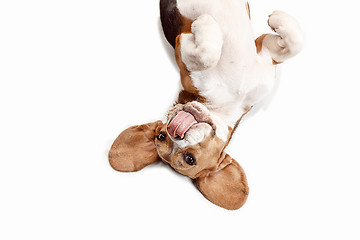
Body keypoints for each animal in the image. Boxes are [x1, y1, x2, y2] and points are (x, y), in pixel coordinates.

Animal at [107, 0, 304, 210]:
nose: (175, 132)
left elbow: (296, 44)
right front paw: (204, 24)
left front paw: (278, 19)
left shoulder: (266, 56)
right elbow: (206, 55)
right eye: (161, 136)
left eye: (189, 159)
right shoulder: (182, 48)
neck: (228, 102)